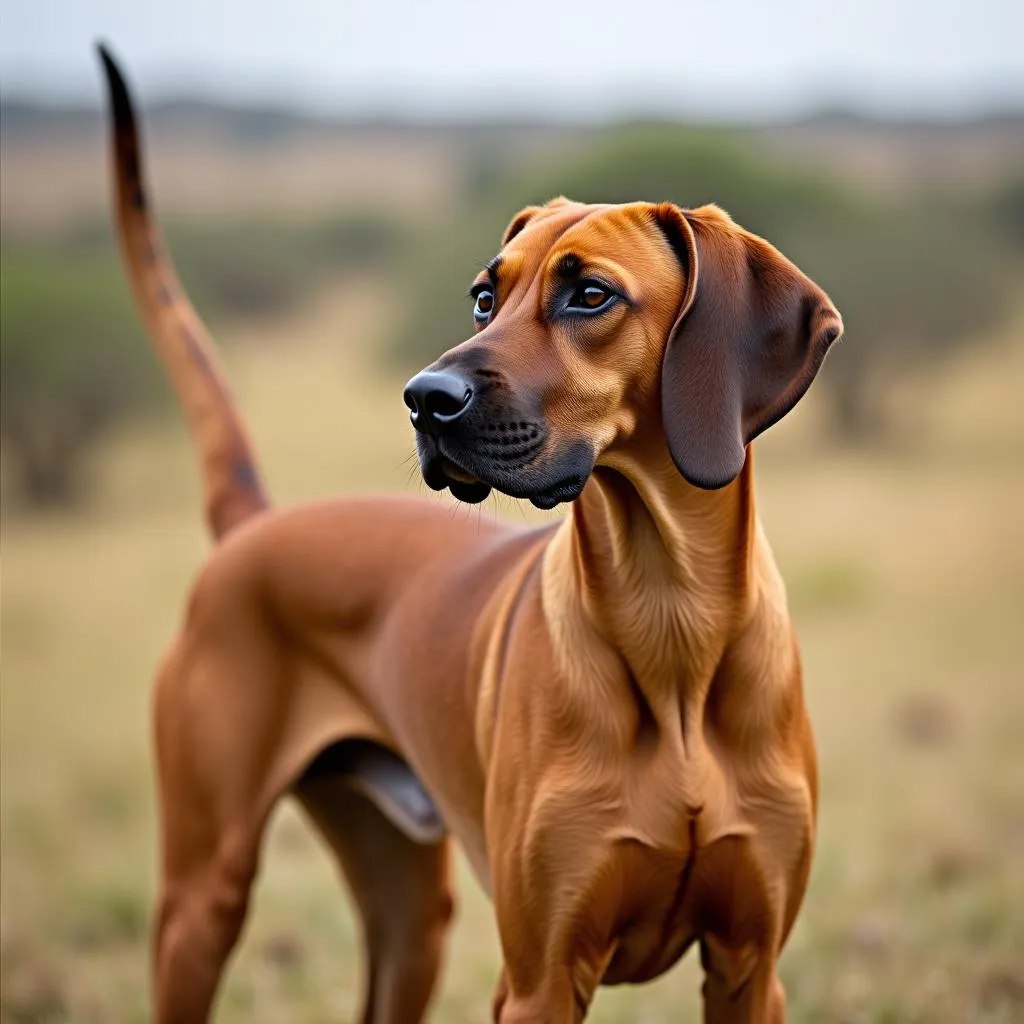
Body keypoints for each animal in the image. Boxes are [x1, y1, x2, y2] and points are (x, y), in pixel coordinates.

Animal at [99, 46, 843, 1024]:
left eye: (591, 295)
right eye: (486, 298)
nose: (424, 399)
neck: (670, 614)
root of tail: (253, 528)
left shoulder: (750, 968)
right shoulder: (537, 981)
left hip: (411, 918)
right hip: (203, 900)